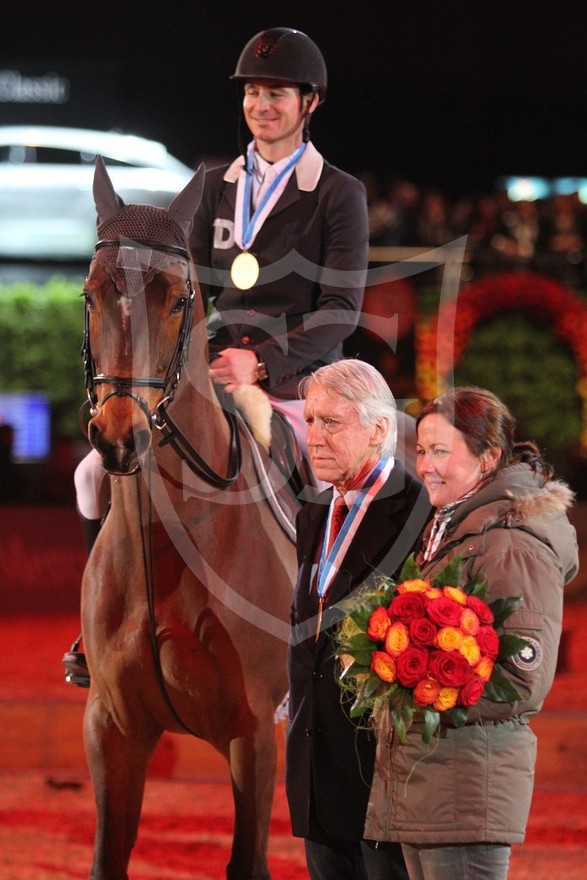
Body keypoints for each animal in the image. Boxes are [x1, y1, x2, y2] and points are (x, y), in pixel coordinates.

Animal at [78, 158, 298, 880]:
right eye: (90, 295)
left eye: (178, 300)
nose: (120, 437)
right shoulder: (112, 730)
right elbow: (108, 859)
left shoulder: (252, 733)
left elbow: (248, 861)